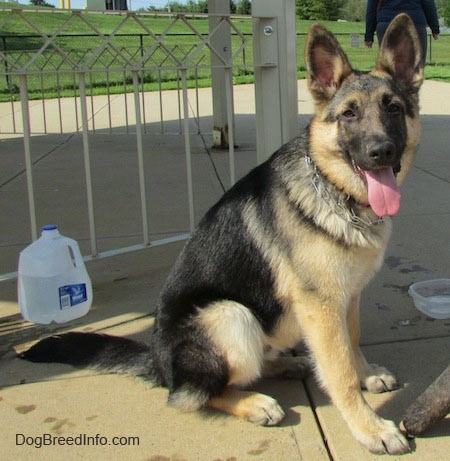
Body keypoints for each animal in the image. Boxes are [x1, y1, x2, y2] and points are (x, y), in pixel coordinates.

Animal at [20, 13, 422, 452]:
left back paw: (288, 363)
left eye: (393, 108)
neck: (335, 192)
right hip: (231, 315)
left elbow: (353, 342)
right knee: (194, 395)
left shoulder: (347, 297)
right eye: (349, 114)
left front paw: (367, 375)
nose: (381, 151)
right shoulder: (322, 306)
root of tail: (160, 364)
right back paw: (254, 402)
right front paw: (370, 427)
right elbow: (340, 371)